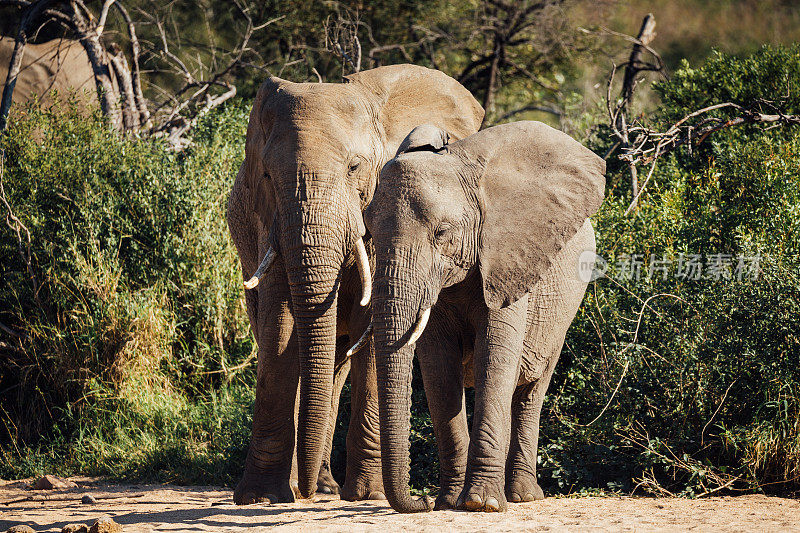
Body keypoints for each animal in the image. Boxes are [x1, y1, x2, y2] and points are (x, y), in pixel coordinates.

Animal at [228, 64, 484, 504]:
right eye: (266, 176)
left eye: (354, 168)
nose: (305, 494)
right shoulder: (267, 221)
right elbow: (279, 323)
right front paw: (261, 497)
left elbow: (373, 326)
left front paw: (366, 495)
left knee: (335, 360)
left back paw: (326, 486)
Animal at [362, 120, 608, 512]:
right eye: (368, 231)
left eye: (441, 233)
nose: (421, 499)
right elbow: (439, 369)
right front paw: (449, 502)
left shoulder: (511, 259)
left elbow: (494, 358)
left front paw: (482, 504)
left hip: (564, 311)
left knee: (530, 391)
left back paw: (521, 496)